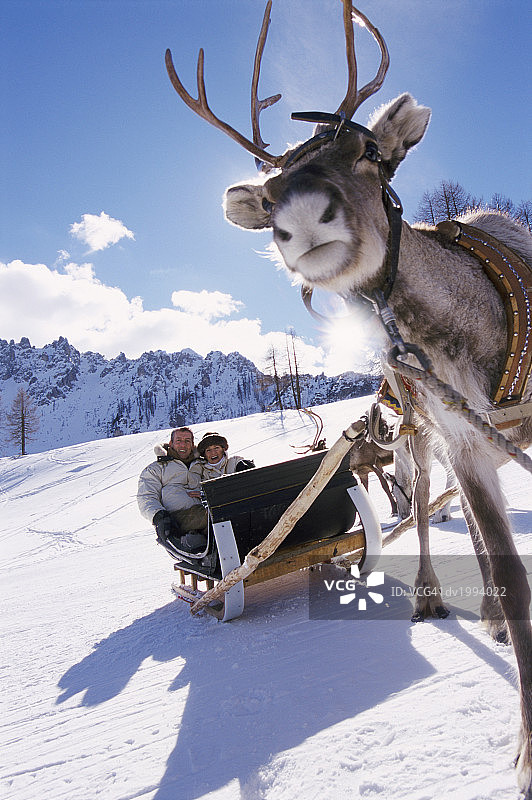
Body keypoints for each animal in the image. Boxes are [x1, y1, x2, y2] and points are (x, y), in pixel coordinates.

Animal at [164, 2, 532, 795]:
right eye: (271, 193)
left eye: (368, 153)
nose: (301, 218)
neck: (477, 339)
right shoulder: (463, 436)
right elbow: (514, 583)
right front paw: (525, 753)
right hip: (423, 433)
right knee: (428, 508)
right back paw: (437, 596)